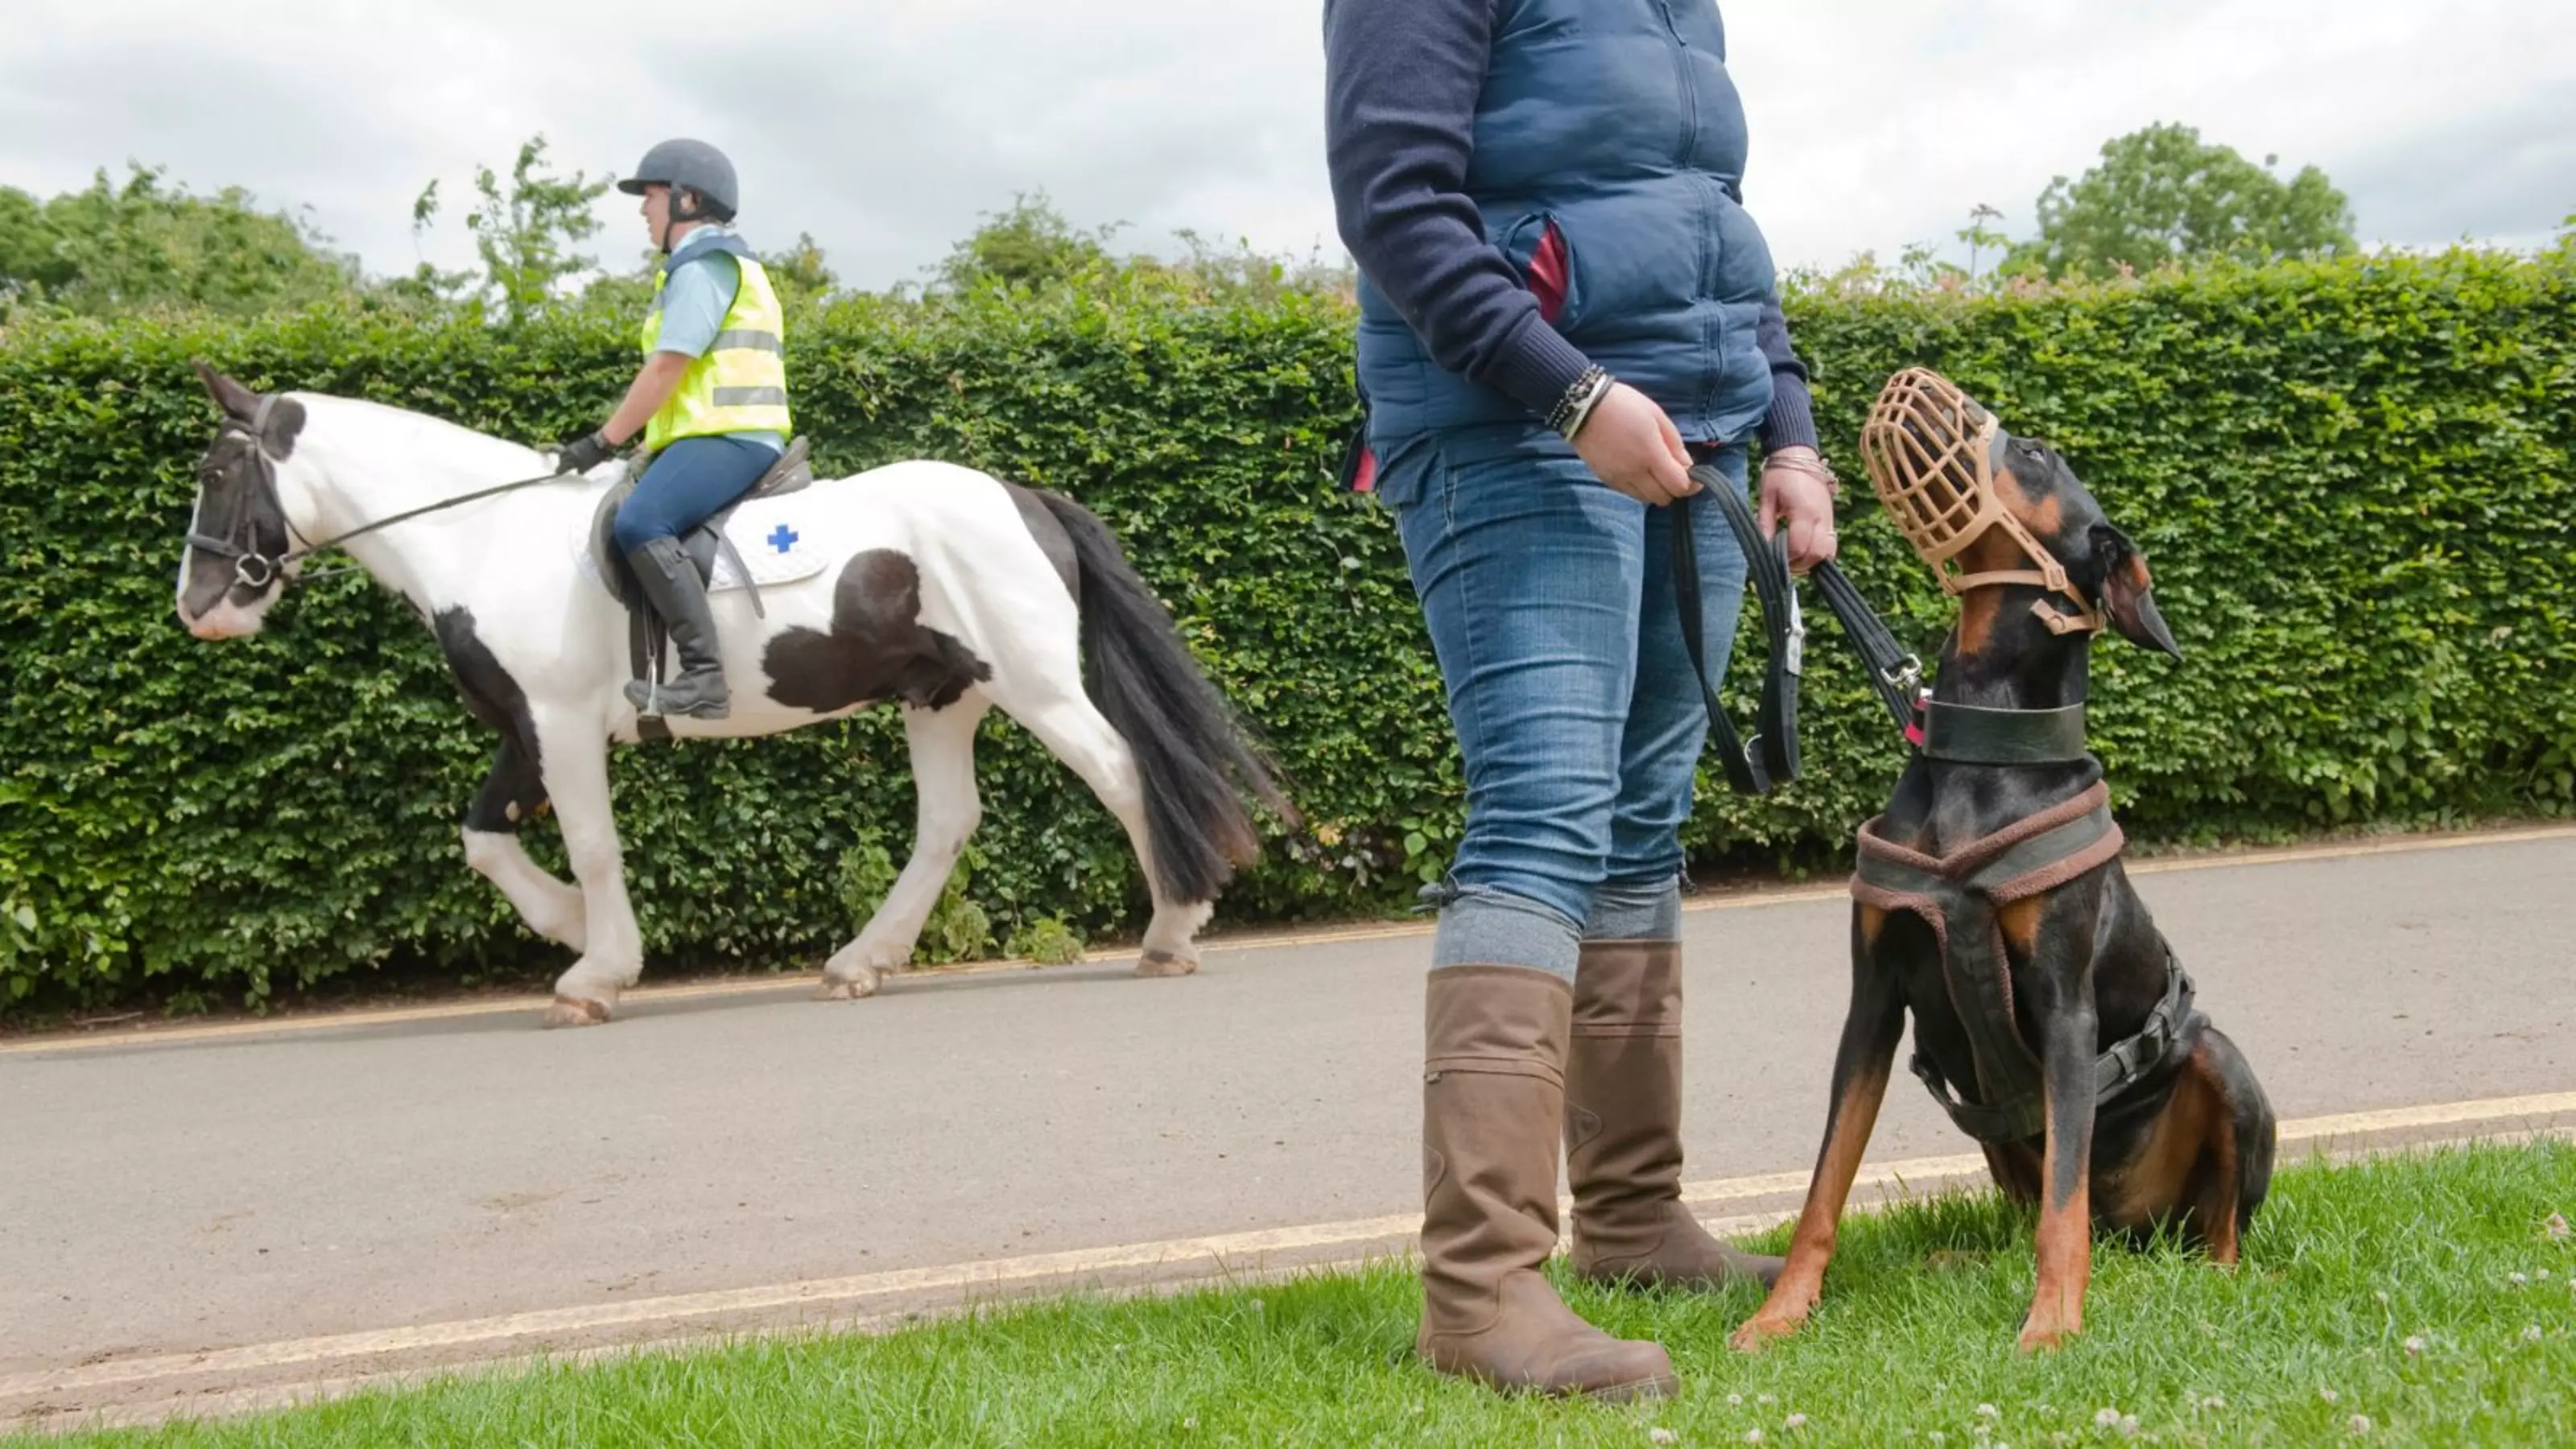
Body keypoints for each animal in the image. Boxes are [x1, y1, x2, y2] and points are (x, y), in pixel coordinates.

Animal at [181, 365, 1298, 1021]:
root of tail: (1023, 496)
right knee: (947, 823)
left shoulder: (561, 728)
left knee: (1118, 771)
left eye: (216, 472)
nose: (197, 607)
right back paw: (861, 961)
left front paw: (597, 968)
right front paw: (571, 932)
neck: (482, 536)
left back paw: (1170, 931)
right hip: (941, 698)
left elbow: (590, 847)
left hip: (1033, 682)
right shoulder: (527, 730)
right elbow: (484, 838)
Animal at [1731, 417, 2277, 1351]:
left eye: (2034, 456)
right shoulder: (1872, 999)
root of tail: (2136, 1233)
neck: (1982, 752)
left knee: (2211, 1226)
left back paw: (2214, 1280)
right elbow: (1824, 1185)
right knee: (2035, 1217)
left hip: (2221, 1069)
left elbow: (2063, 1203)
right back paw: (1956, 1260)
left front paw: (2050, 1327)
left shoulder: (2064, 1006)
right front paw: (1780, 1315)